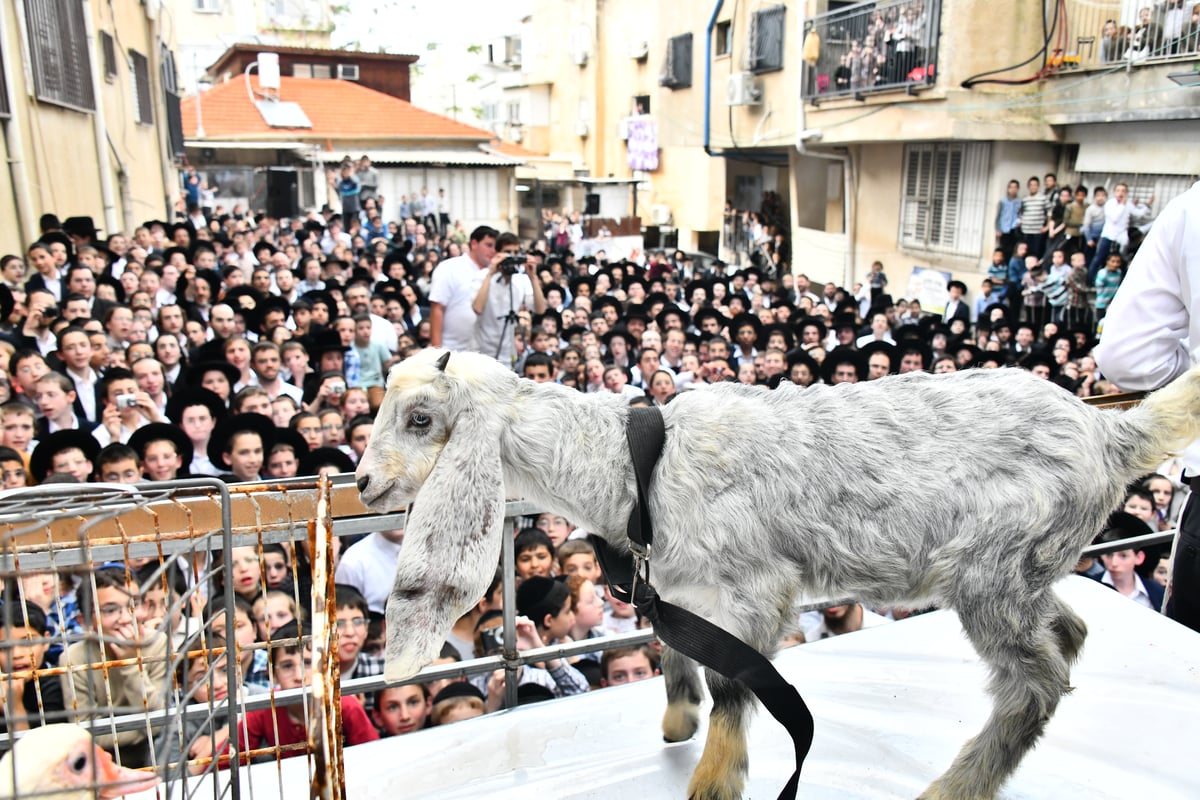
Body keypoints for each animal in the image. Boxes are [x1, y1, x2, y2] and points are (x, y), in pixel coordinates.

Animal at [352, 350, 1200, 800]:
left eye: (421, 419)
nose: (361, 483)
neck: (637, 464)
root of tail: (1110, 432)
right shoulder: (684, 583)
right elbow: (675, 648)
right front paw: (677, 719)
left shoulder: (755, 585)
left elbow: (737, 682)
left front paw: (713, 778)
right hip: (1028, 567)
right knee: (1070, 630)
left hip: (991, 565)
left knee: (1035, 682)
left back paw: (955, 787)